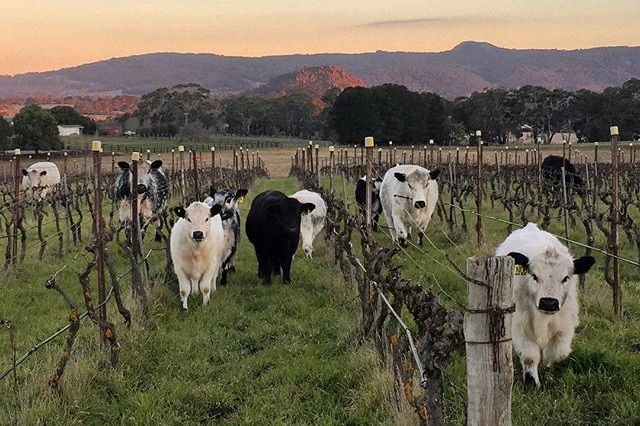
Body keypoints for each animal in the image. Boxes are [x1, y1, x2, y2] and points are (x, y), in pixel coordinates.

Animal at [496, 223, 596, 386]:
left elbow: (557, 353)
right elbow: (530, 357)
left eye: (565, 278)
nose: (548, 303)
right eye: (534, 276)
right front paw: (532, 382)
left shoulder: (565, 326)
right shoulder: (520, 326)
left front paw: (547, 367)